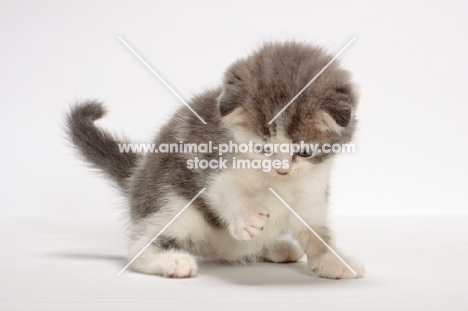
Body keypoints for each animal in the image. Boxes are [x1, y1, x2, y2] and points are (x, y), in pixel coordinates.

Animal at [67, 42, 364, 280]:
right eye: (261, 148)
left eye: (303, 152)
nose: (281, 170)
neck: (278, 183)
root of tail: (135, 178)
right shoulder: (207, 157)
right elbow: (223, 188)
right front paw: (247, 216)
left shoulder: (311, 191)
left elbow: (316, 232)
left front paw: (333, 260)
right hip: (171, 202)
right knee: (138, 245)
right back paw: (170, 260)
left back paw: (275, 247)